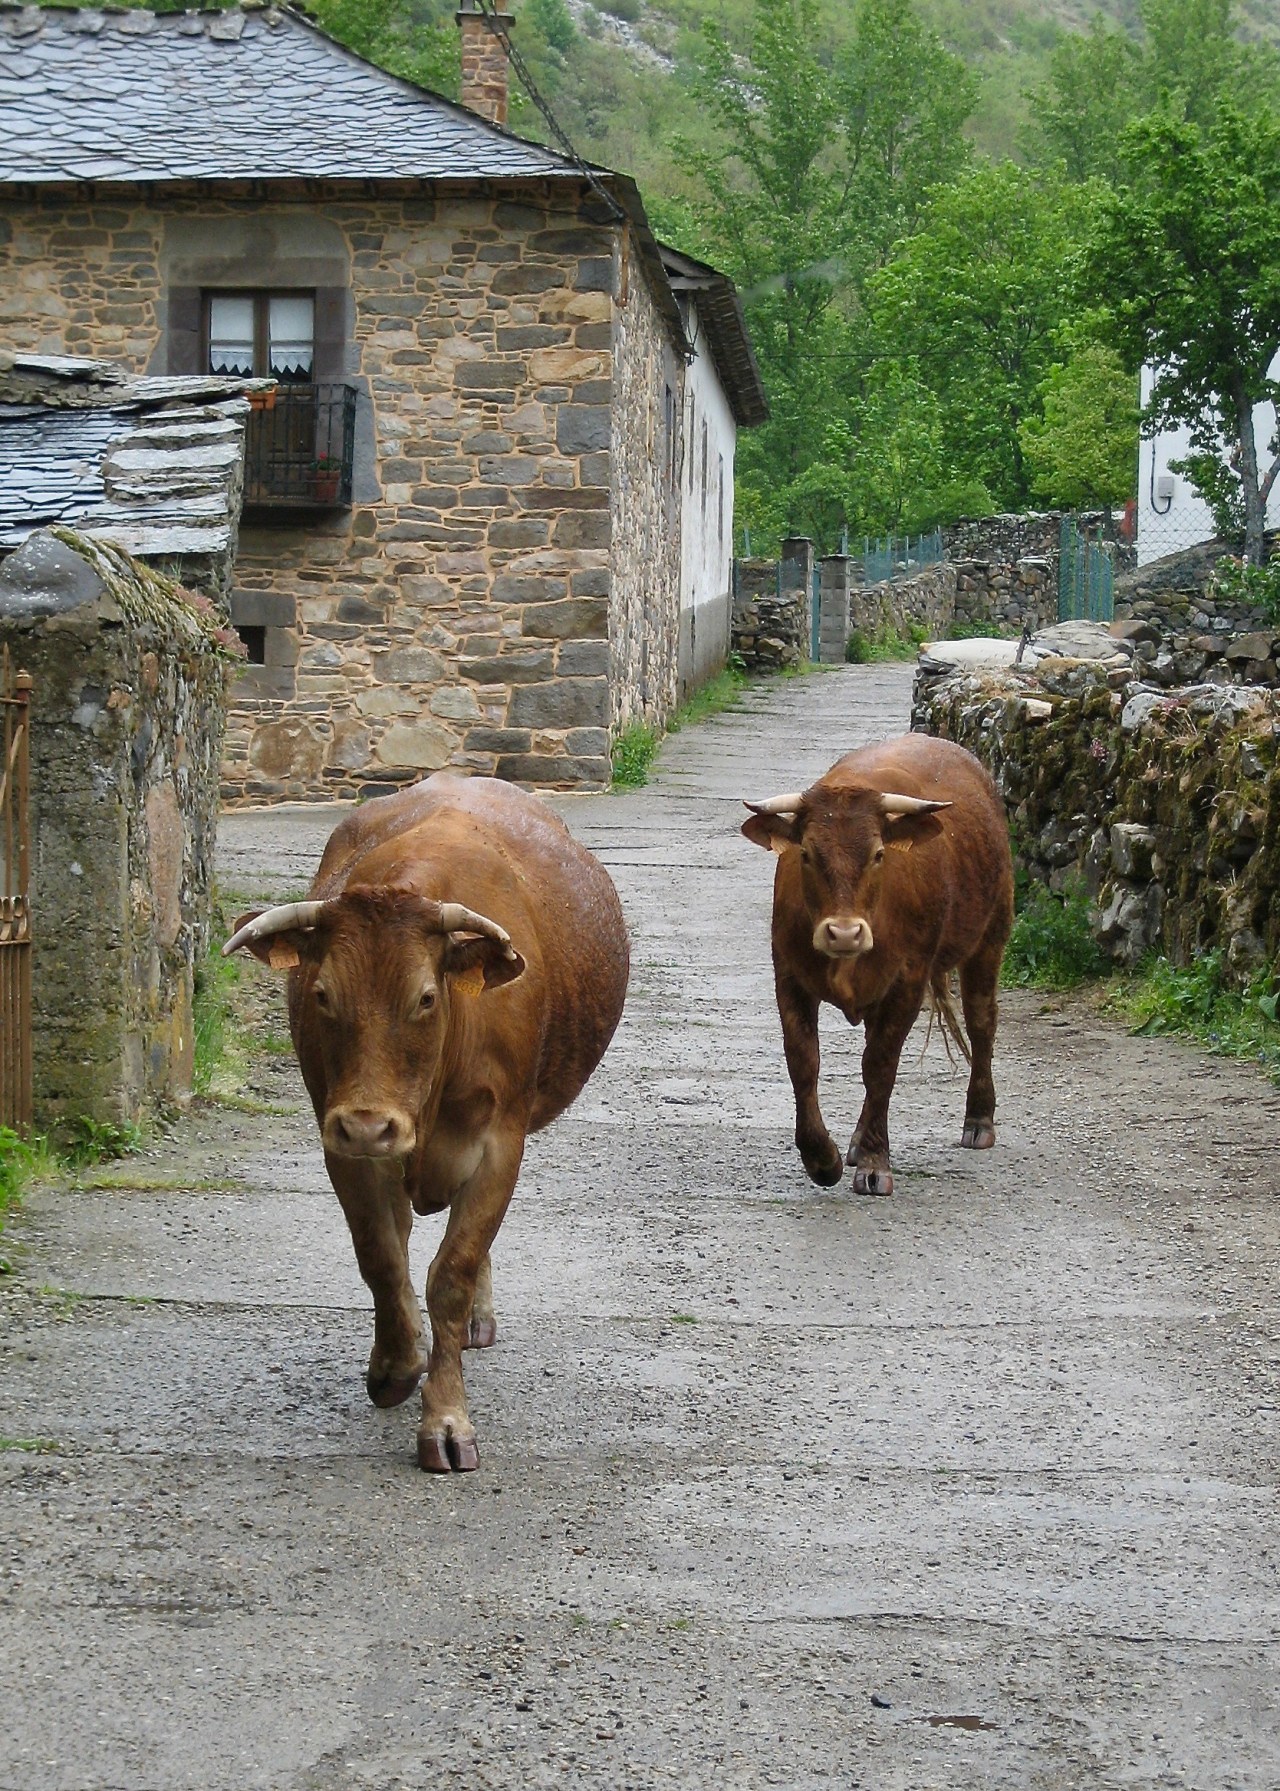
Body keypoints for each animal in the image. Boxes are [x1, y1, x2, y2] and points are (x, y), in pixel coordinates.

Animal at [223, 773, 629, 1472]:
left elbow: (454, 1273)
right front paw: (395, 1364)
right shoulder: (344, 1141)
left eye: (427, 998)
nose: (369, 1124)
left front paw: (445, 1418)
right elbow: (383, 1256)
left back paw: (473, 1326)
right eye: (322, 994)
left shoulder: (500, 1145)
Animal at [742, 734, 1013, 1196]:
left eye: (879, 854)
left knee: (981, 1022)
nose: (844, 933)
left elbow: (881, 1066)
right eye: (807, 854)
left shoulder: (907, 982)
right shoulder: (789, 978)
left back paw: (979, 1119)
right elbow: (804, 1062)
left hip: (990, 938)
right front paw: (823, 1158)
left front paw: (873, 1163)